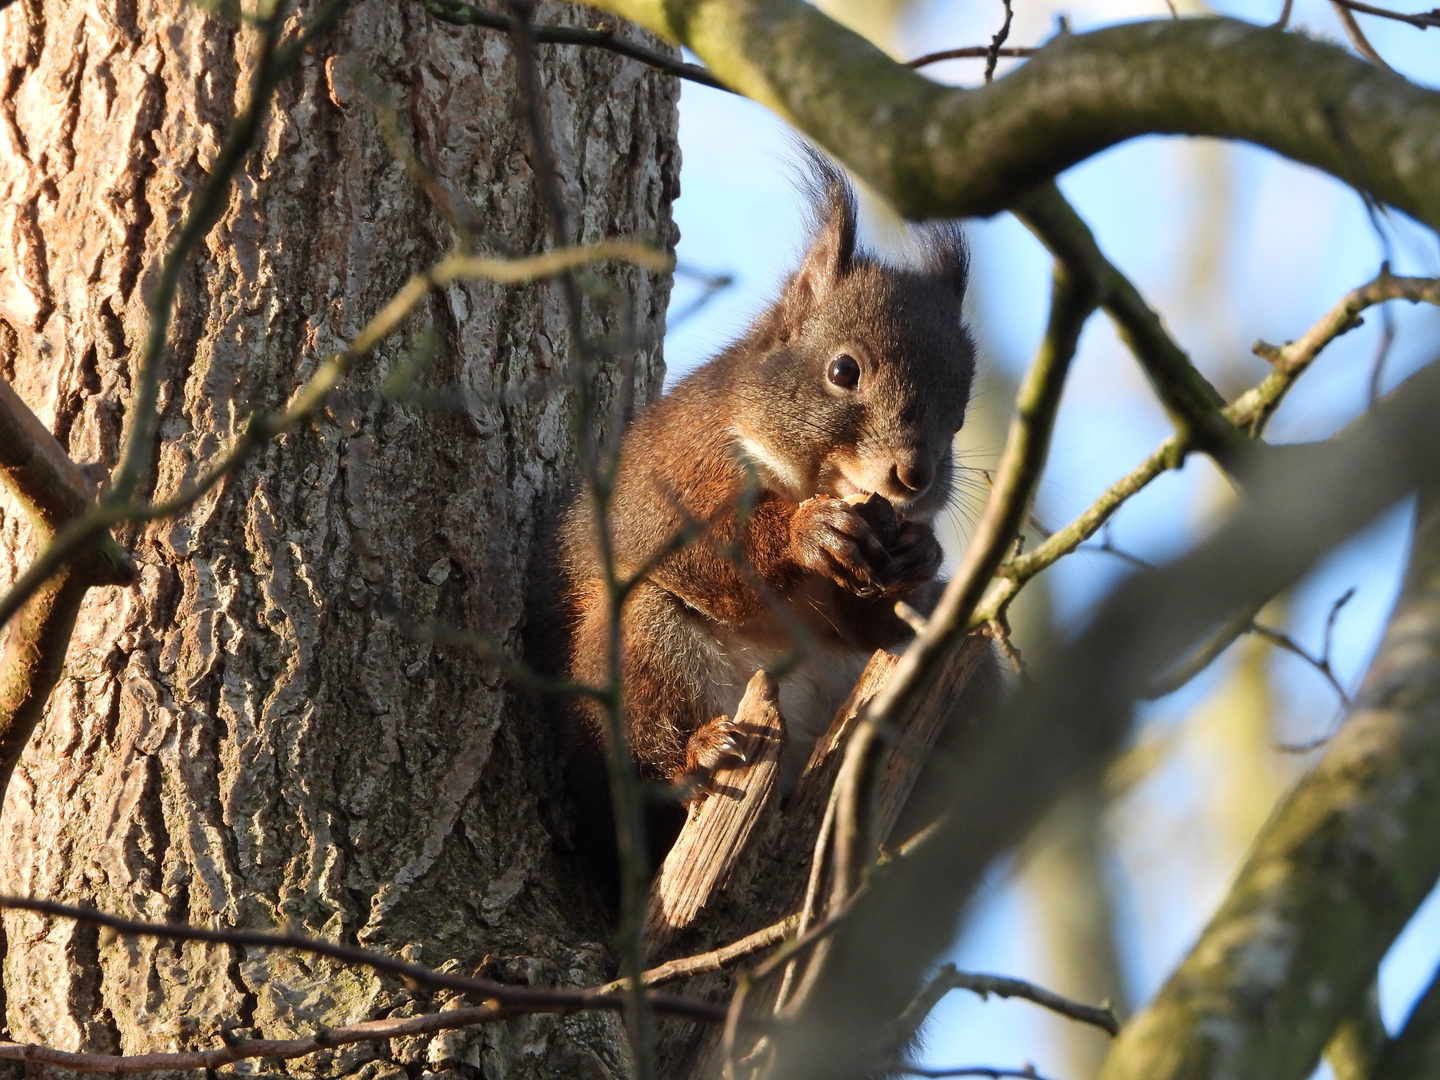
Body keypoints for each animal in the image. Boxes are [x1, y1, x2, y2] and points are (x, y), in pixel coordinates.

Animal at [555, 152, 984, 892]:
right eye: (844, 370)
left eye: (958, 416)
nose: (914, 477)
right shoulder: (672, 476)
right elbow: (705, 555)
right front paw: (807, 533)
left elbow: (867, 627)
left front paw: (918, 556)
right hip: (637, 648)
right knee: (645, 756)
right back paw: (697, 756)